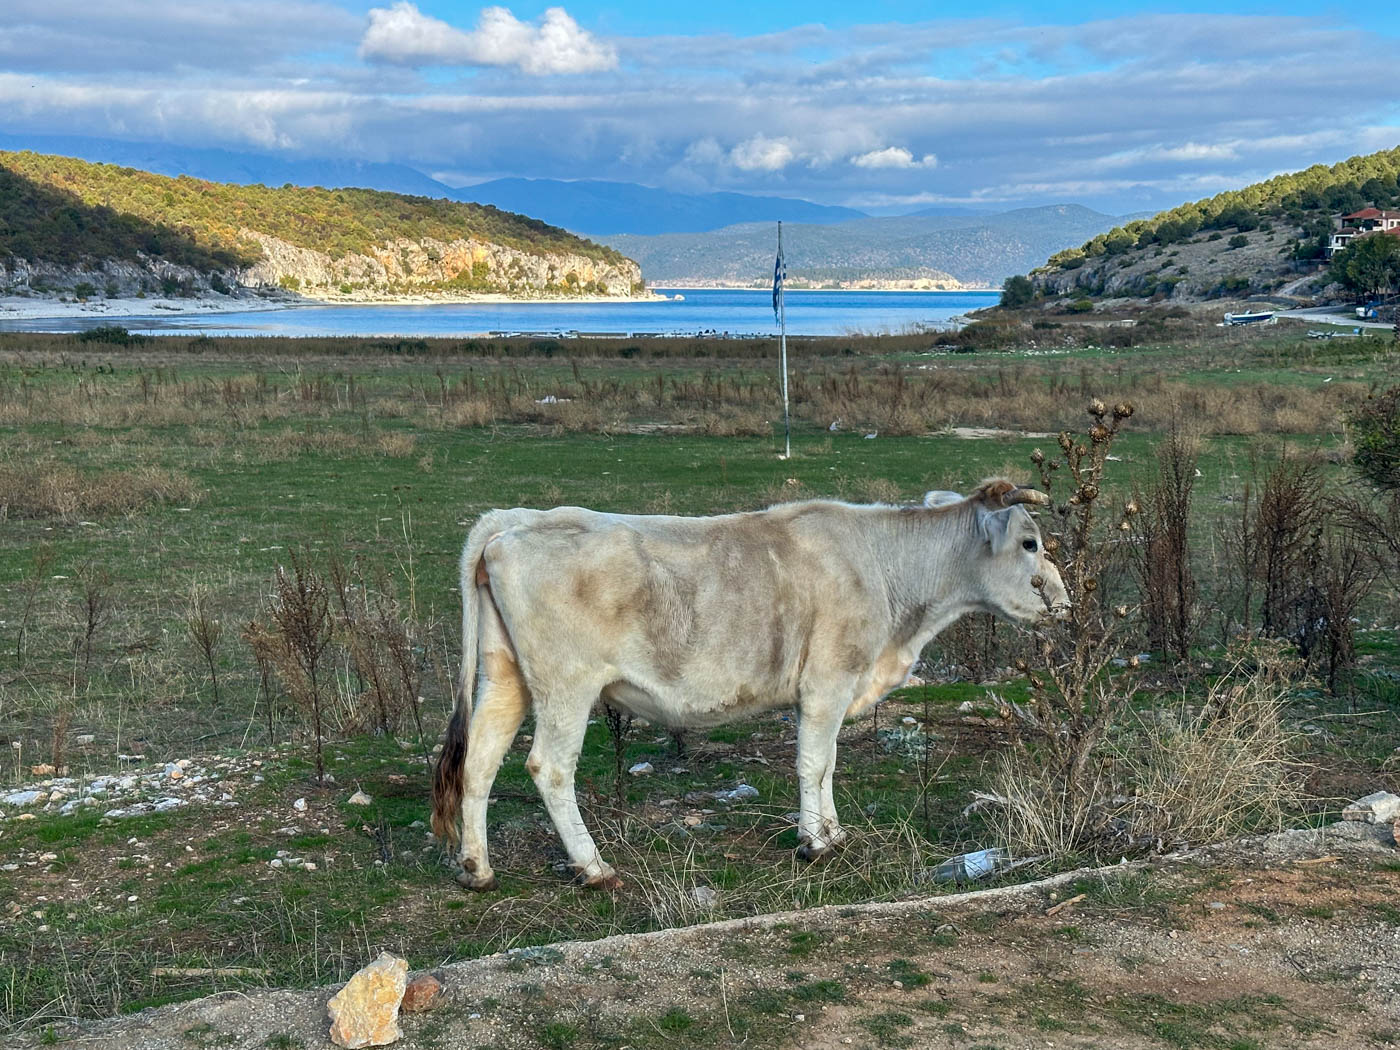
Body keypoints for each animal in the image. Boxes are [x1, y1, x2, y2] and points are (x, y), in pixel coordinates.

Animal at [430, 479, 1067, 891]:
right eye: (1030, 542)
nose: (1063, 602)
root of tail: (518, 519)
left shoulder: (828, 691)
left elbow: (828, 763)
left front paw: (833, 833)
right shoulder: (829, 680)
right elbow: (814, 763)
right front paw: (814, 844)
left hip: (504, 675)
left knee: (479, 761)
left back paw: (477, 868)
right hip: (567, 685)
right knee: (550, 768)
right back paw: (593, 868)